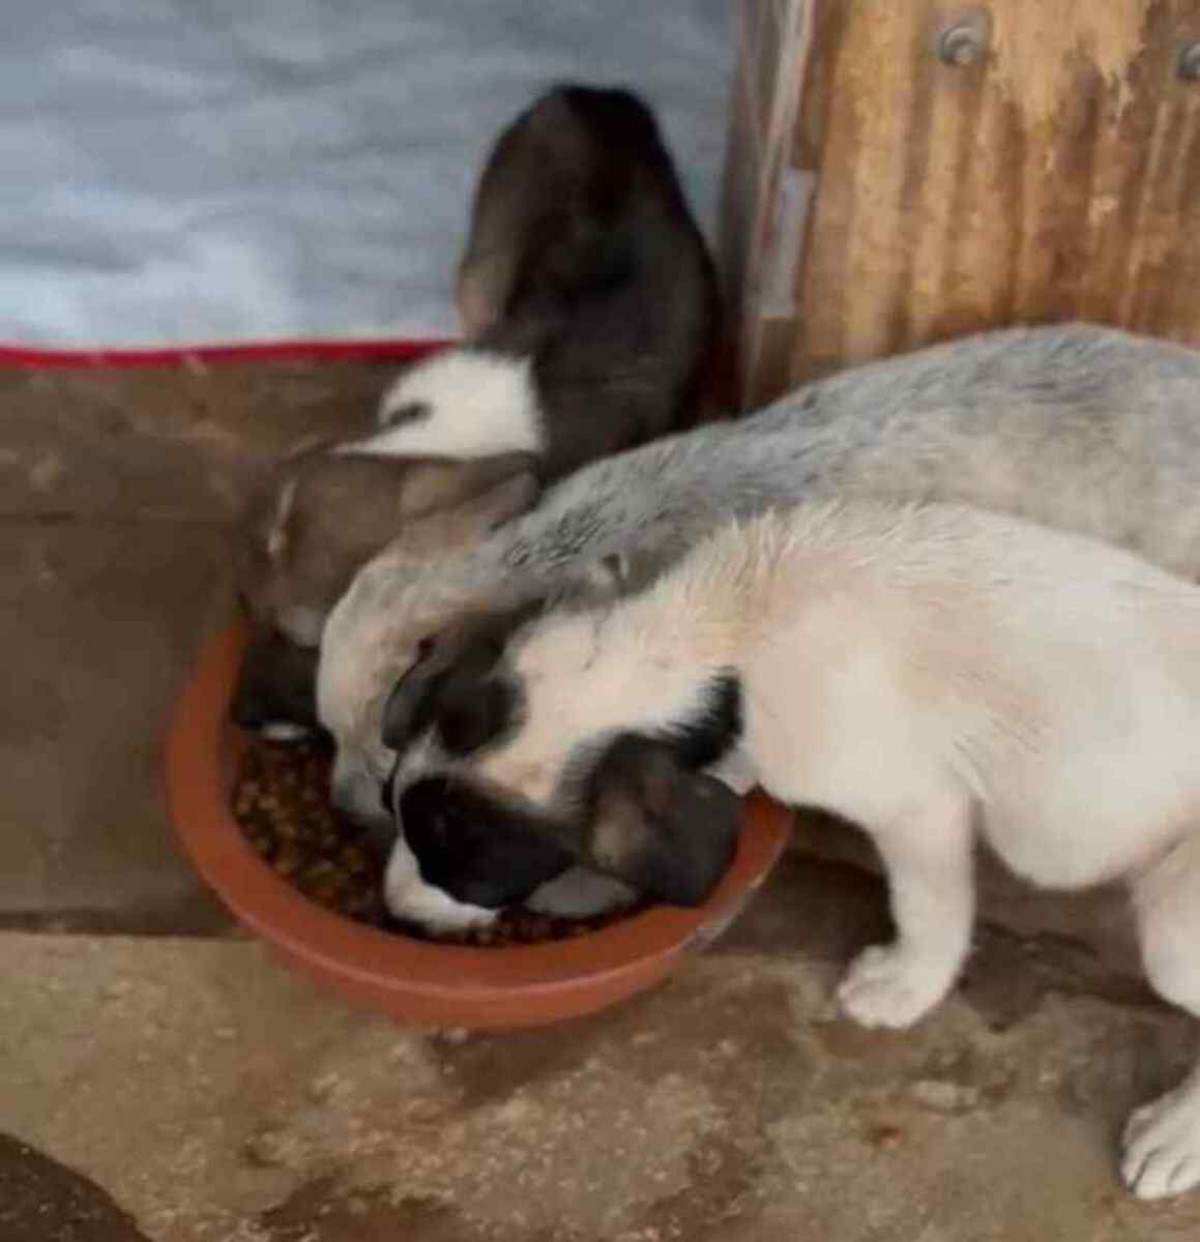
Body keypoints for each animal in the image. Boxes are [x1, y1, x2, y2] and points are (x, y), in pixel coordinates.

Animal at [380, 496, 1200, 1202]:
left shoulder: (917, 806)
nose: (394, 912)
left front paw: (905, 986)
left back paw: (1173, 1139)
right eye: (394, 801)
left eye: (470, 872)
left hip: (1176, 930)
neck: (722, 641)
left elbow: (928, 906)